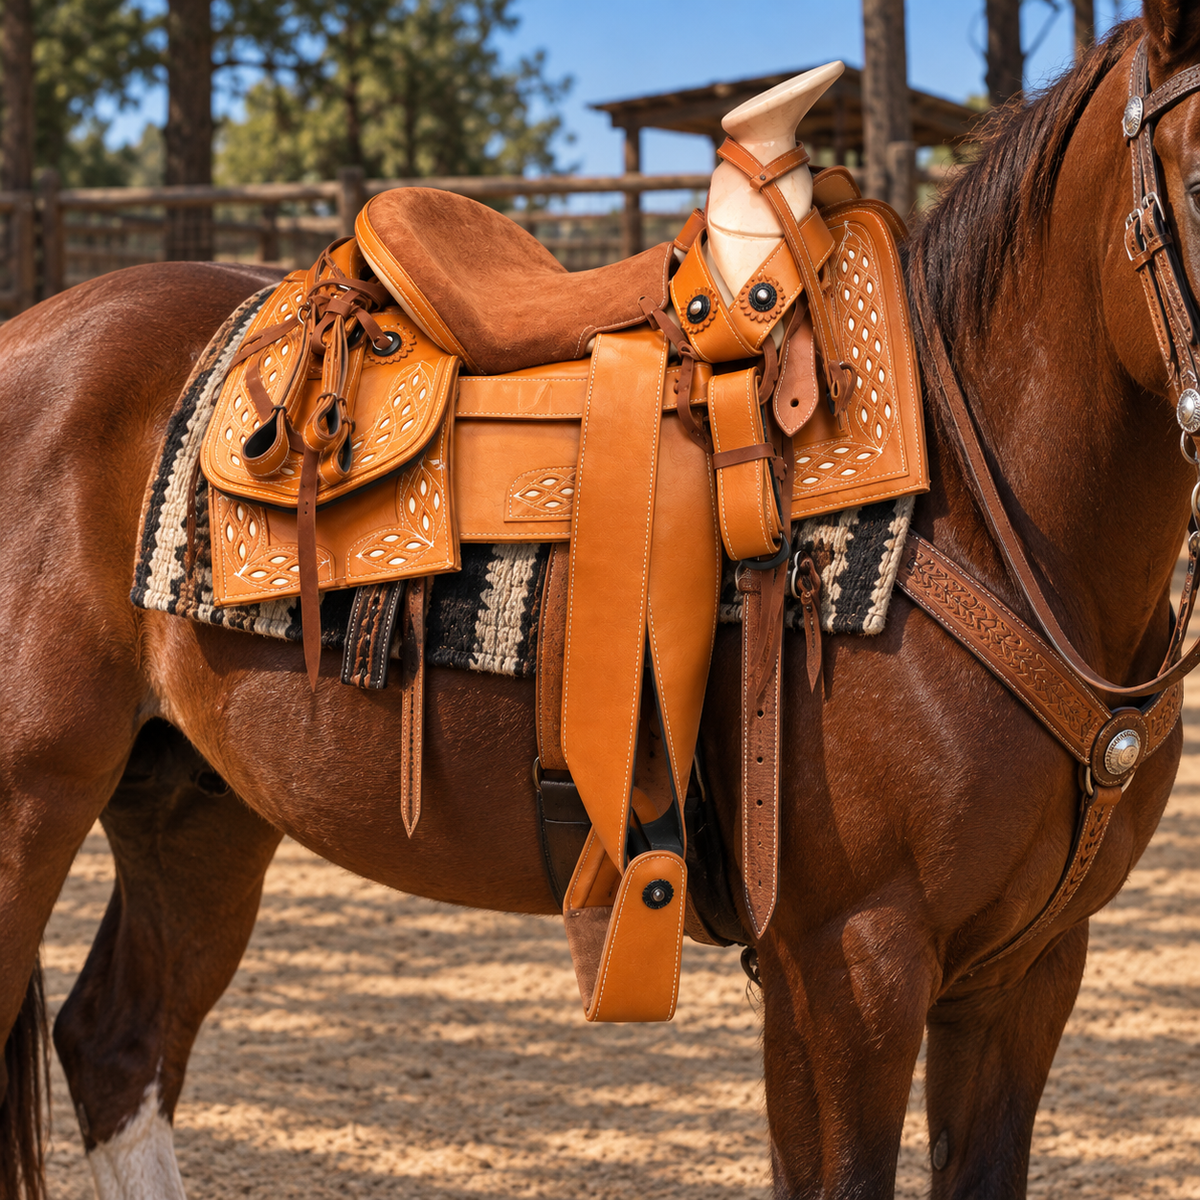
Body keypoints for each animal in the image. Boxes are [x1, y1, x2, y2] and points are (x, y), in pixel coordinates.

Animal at [3, 4, 1199, 1195]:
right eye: (1196, 172)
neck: (966, 506)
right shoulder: (850, 960)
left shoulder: (1025, 971)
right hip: (37, 798)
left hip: (195, 801)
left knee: (116, 1042)